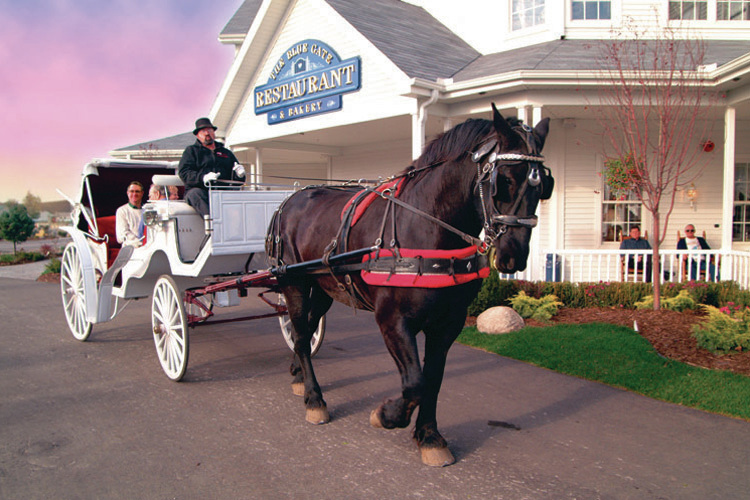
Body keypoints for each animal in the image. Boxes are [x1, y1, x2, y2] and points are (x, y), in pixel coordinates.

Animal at [268, 103, 548, 466]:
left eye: (544, 186)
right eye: (505, 180)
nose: (513, 255)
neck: (425, 226)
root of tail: (289, 200)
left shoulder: (448, 323)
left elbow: (433, 379)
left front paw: (429, 436)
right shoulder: (392, 320)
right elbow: (415, 382)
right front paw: (387, 415)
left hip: (325, 286)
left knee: (309, 326)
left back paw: (299, 374)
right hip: (294, 282)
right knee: (301, 334)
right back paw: (315, 399)